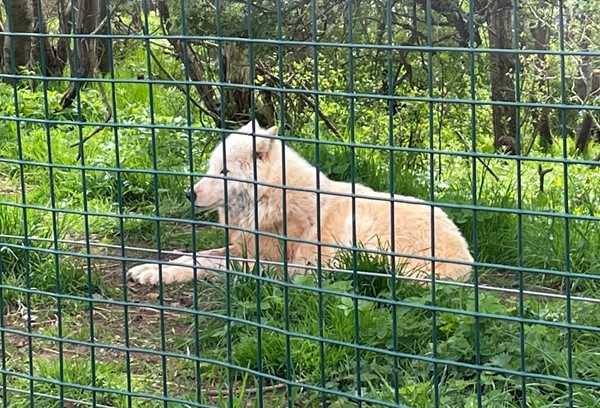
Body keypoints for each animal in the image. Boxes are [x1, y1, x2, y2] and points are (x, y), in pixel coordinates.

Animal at [127, 121, 474, 286]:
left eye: (224, 172)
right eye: (210, 168)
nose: (191, 194)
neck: (266, 199)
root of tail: (466, 265)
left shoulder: (262, 262)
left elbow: (204, 264)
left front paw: (158, 275)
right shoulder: (242, 247)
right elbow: (193, 255)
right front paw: (149, 267)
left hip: (358, 228)